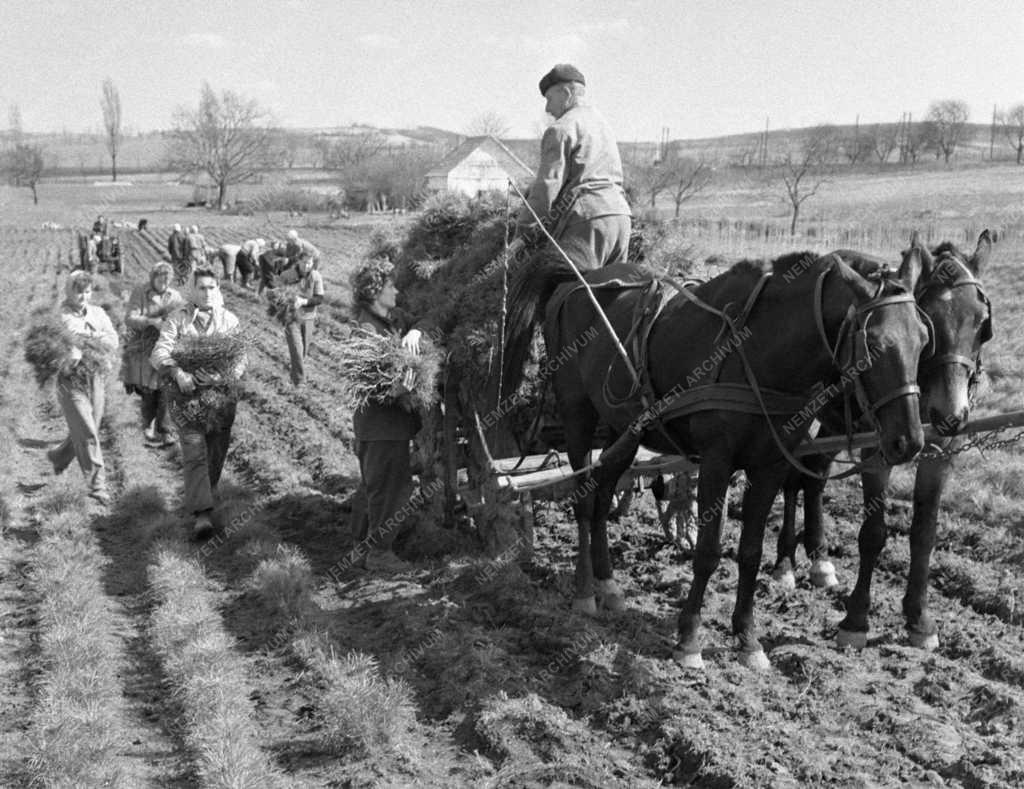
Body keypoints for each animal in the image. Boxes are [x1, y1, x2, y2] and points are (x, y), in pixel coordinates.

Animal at [499, 249, 933, 671]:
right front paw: (690, 639)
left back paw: (609, 584)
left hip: (624, 429)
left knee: (605, 493)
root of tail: (579, 279)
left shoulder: (770, 465)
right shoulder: (716, 461)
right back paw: (585, 590)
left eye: (923, 339)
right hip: (578, 415)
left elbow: (750, 552)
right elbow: (708, 552)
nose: (909, 441)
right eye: (873, 343)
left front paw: (747, 639)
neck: (760, 351)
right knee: (586, 503)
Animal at [774, 231, 991, 650]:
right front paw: (856, 618)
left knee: (813, 475)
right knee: (791, 479)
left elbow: (924, 533)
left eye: (981, 322)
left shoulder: (939, 451)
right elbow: (873, 534)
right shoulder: (877, 451)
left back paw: (820, 559)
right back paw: (784, 563)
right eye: (932, 319)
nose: (952, 414)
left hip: (833, 424)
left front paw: (919, 618)